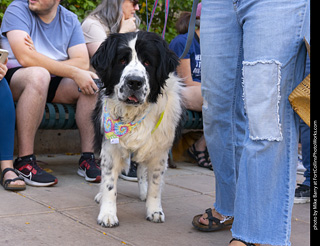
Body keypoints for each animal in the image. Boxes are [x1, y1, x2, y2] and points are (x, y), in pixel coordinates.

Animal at [91, 31, 184, 228]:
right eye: (122, 60)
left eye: (147, 62)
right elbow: (109, 182)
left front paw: (154, 210)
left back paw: (143, 193)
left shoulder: (159, 151)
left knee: (141, 169)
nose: (134, 82)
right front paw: (107, 214)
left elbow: (155, 184)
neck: (133, 114)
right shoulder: (110, 148)